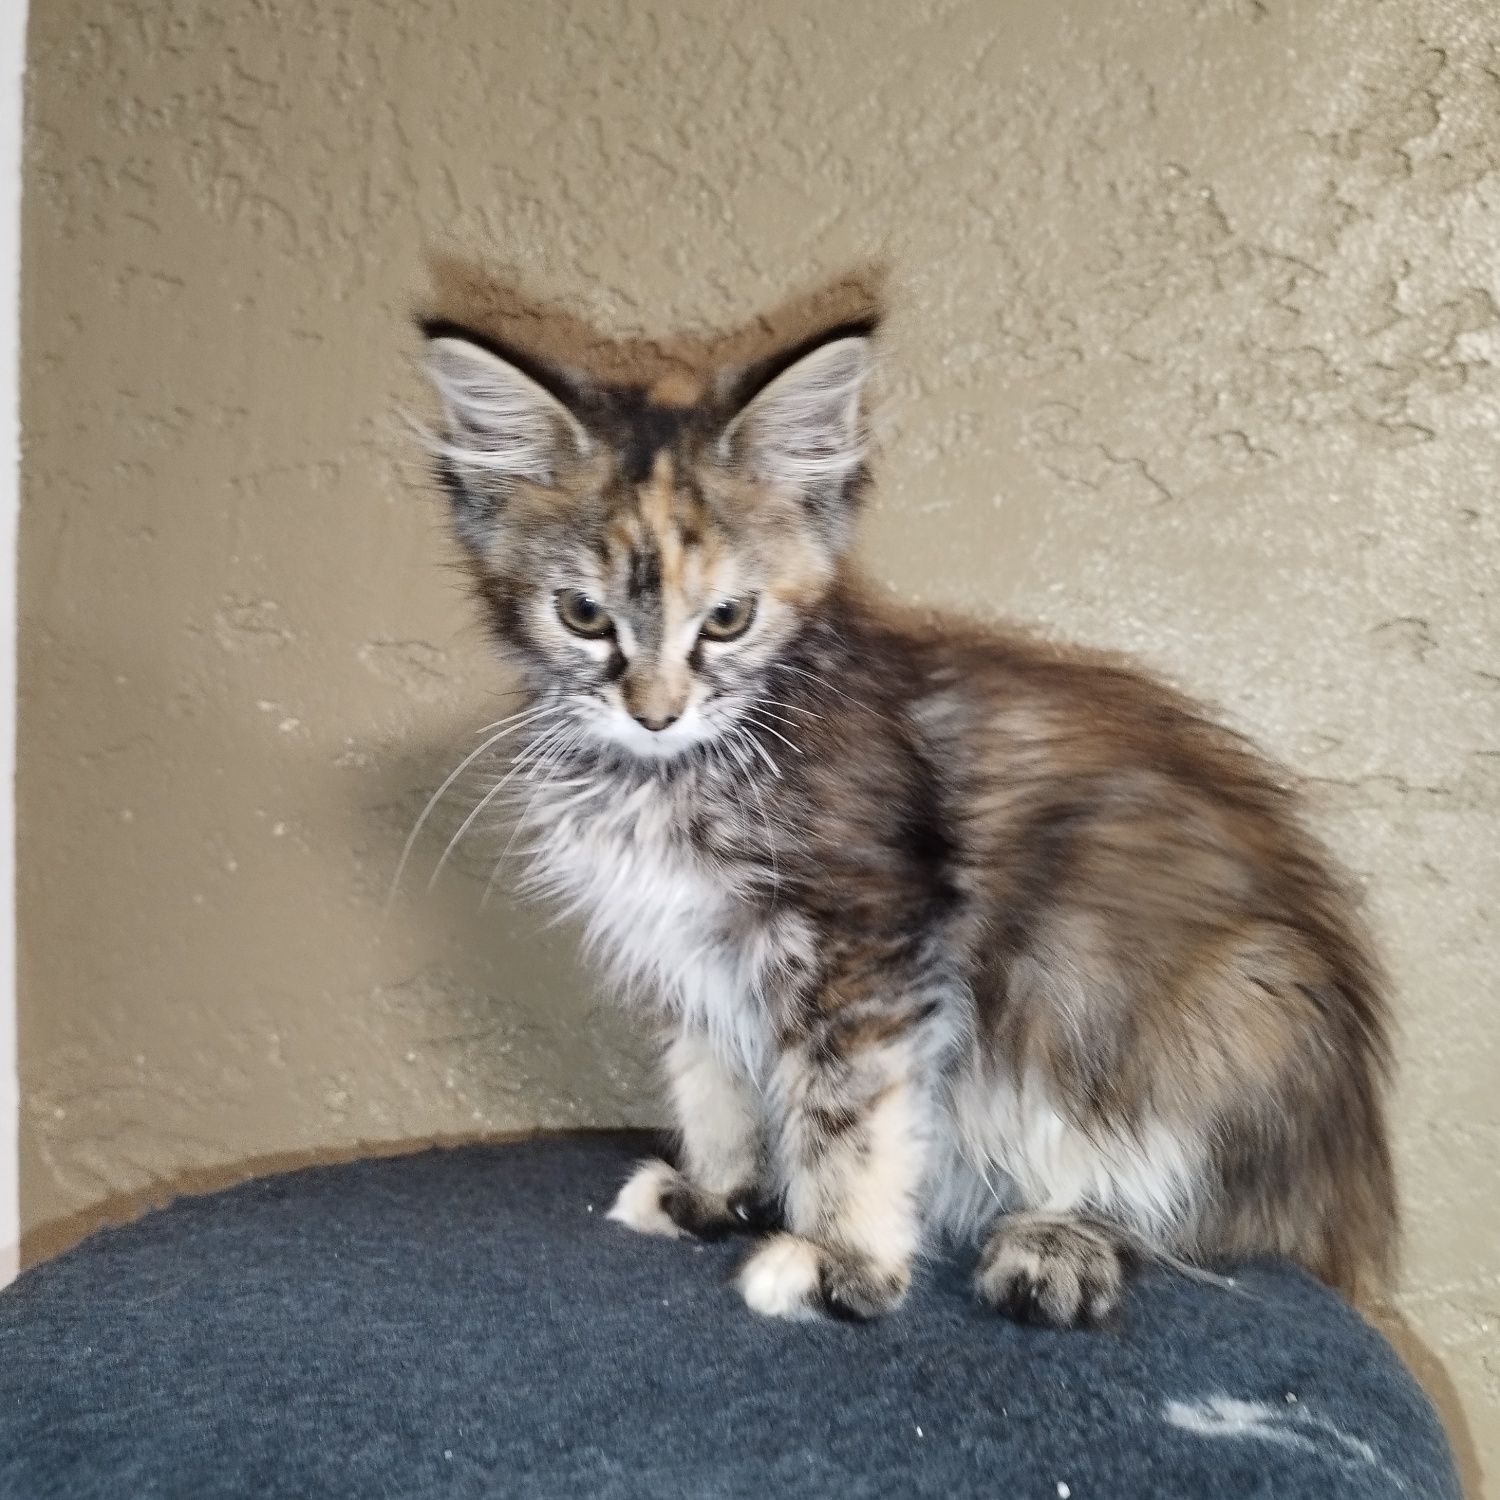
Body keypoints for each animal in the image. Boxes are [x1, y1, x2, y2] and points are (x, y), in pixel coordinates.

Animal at [420, 316, 1392, 1326]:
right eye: (582, 614)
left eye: (727, 620)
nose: (655, 713)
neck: (668, 772)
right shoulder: (689, 958)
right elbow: (711, 1084)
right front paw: (717, 1195)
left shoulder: (864, 942)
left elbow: (846, 1117)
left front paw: (840, 1263)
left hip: (1225, 1015)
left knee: (1212, 1226)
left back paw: (1060, 1244)